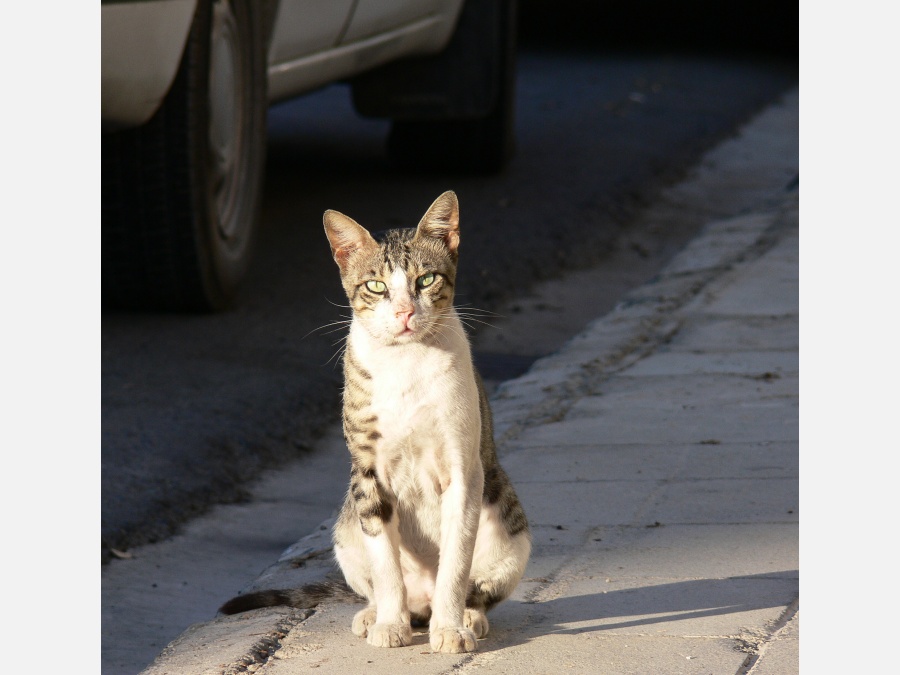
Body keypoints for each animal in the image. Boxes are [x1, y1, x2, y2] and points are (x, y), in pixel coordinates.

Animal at [219, 190, 532, 656]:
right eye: (376, 286)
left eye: (426, 280)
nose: (404, 312)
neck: (406, 365)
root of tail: (421, 602)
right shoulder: (367, 474)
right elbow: (385, 562)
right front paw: (388, 623)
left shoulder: (463, 469)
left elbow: (456, 561)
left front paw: (450, 628)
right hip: (345, 527)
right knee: (376, 577)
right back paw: (375, 614)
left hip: (511, 533)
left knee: (476, 587)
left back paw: (465, 616)